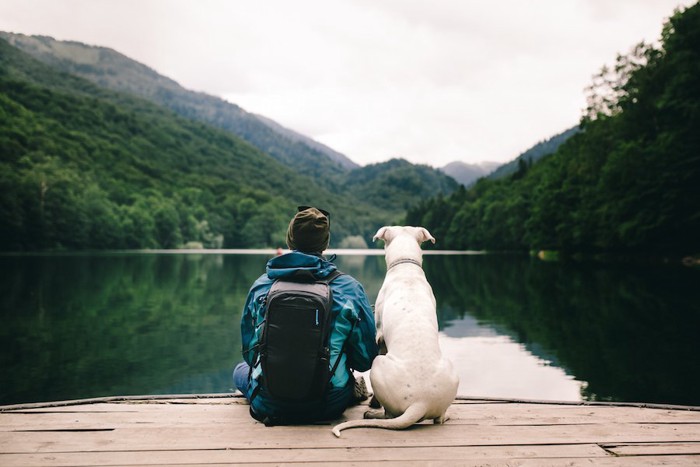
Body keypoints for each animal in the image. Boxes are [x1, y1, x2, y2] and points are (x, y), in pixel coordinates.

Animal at [334, 227, 460, 438]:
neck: (406, 266)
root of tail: (420, 402)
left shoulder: (379, 336)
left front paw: (373, 403)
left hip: (378, 365)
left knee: (390, 415)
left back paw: (372, 414)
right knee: (439, 418)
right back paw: (447, 416)